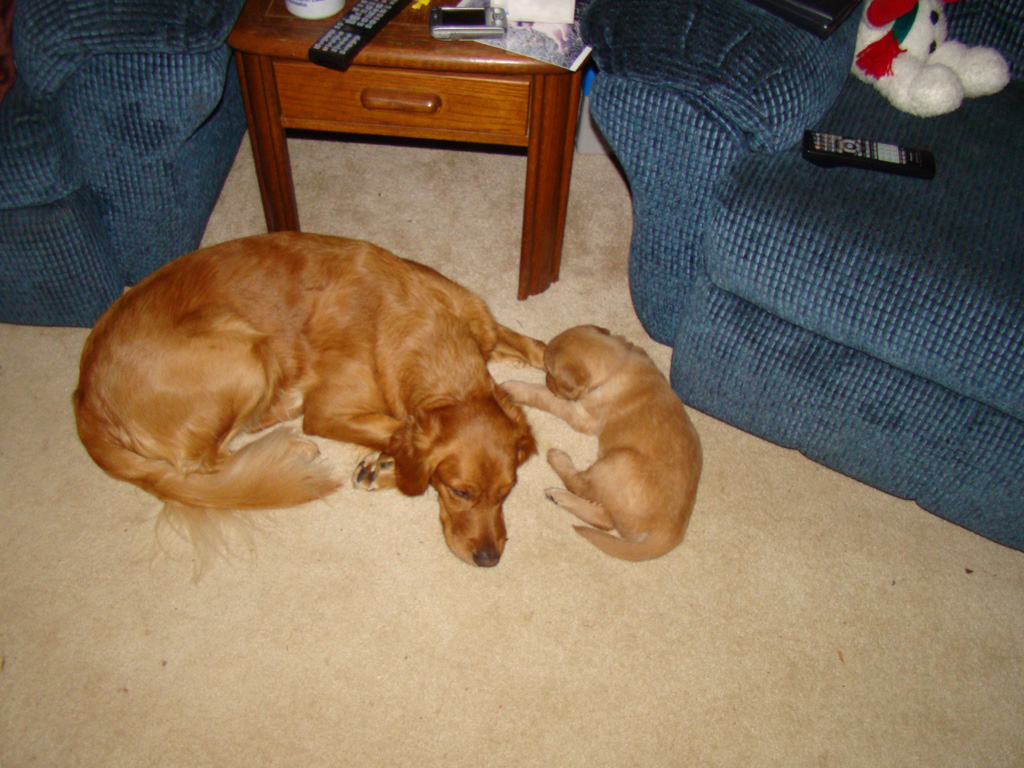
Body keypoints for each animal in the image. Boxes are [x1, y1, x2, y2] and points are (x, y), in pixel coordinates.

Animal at [74, 231, 548, 569]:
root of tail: (84, 392)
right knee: (204, 463)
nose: (489, 559)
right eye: (459, 491)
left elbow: (537, 346)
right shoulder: (327, 411)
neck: (428, 331)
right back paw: (292, 450)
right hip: (247, 353)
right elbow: (398, 430)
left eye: (507, 492)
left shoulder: (485, 327)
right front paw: (388, 464)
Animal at [505, 327, 704, 561]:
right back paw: (559, 497)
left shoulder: (581, 415)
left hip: (617, 464)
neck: (620, 363)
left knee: (579, 485)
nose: (546, 379)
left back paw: (558, 462)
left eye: (551, 372)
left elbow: (543, 396)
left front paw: (512, 388)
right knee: (604, 519)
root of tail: (671, 532)